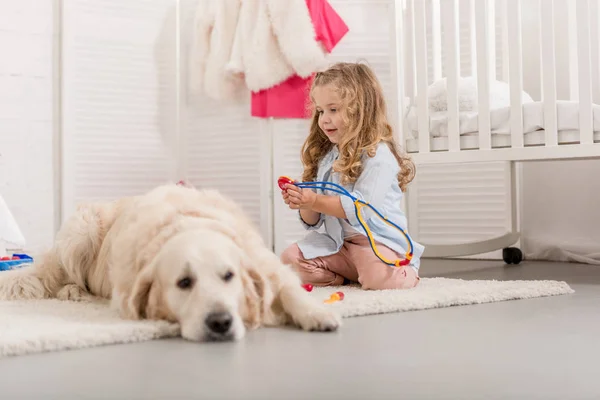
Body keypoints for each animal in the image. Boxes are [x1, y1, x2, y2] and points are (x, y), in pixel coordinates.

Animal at [0, 184, 340, 340]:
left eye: (228, 276)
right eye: (184, 283)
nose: (220, 322)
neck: (186, 223)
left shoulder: (265, 264)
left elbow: (290, 289)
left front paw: (317, 314)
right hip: (80, 229)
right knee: (63, 275)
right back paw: (74, 291)